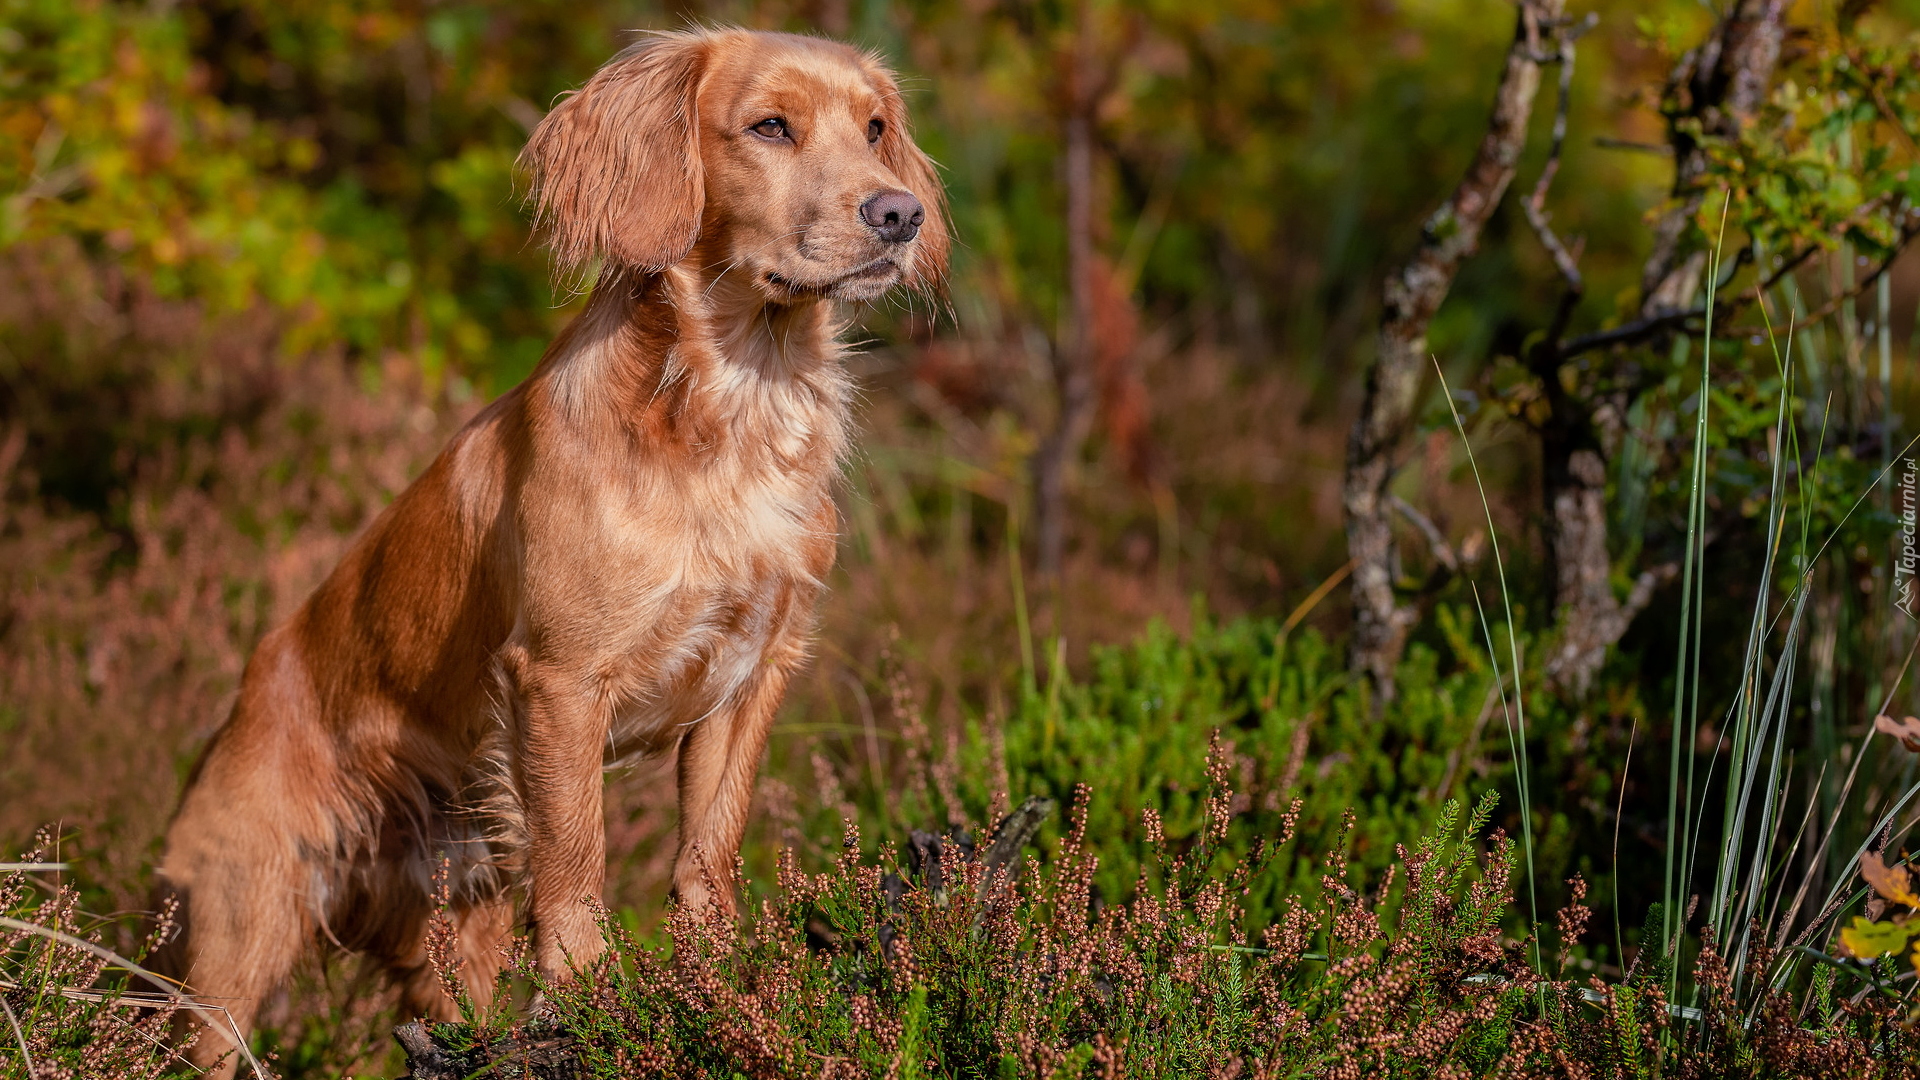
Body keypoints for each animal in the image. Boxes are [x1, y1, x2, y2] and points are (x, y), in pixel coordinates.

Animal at [153, 29, 948, 1060]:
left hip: (453, 935)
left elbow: (709, 848)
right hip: (241, 928)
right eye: (771, 126)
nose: (900, 214)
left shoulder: (752, 672)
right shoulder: (561, 680)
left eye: (876, 127)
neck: (732, 403)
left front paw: (719, 986)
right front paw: (586, 996)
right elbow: (576, 860)